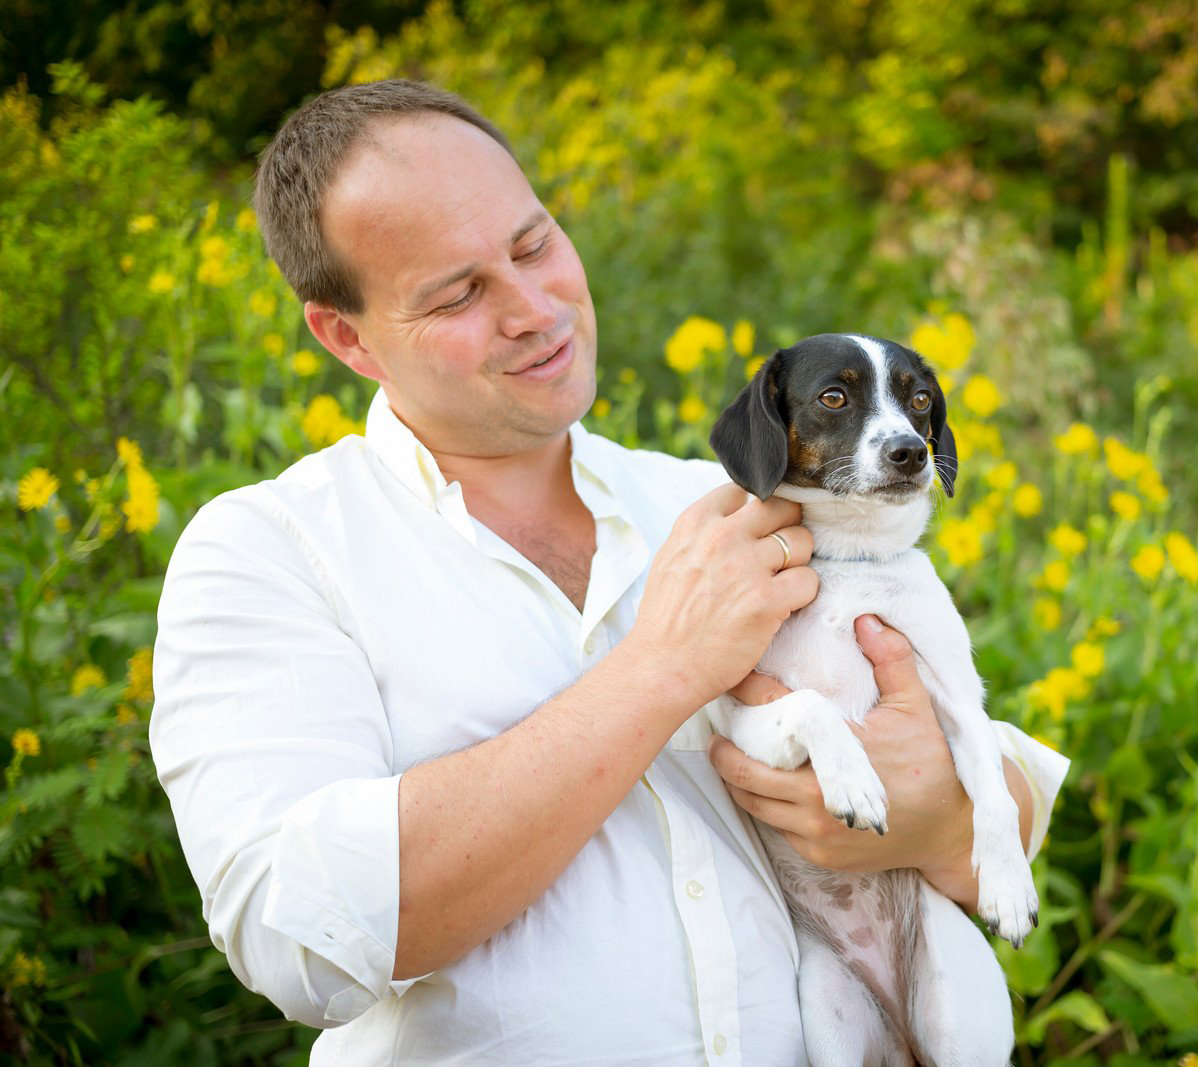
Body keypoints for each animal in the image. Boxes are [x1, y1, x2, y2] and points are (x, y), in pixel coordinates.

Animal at [704, 330, 1035, 1063]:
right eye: (833, 396)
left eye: (920, 400)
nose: (909, 451)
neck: (847, 563)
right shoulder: (741, 722)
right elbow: (814, 705)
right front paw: (854, 780)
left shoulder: (957, 695)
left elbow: (995, 791)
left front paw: (1008, 885)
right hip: (832, 1018)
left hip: (956, 1008)